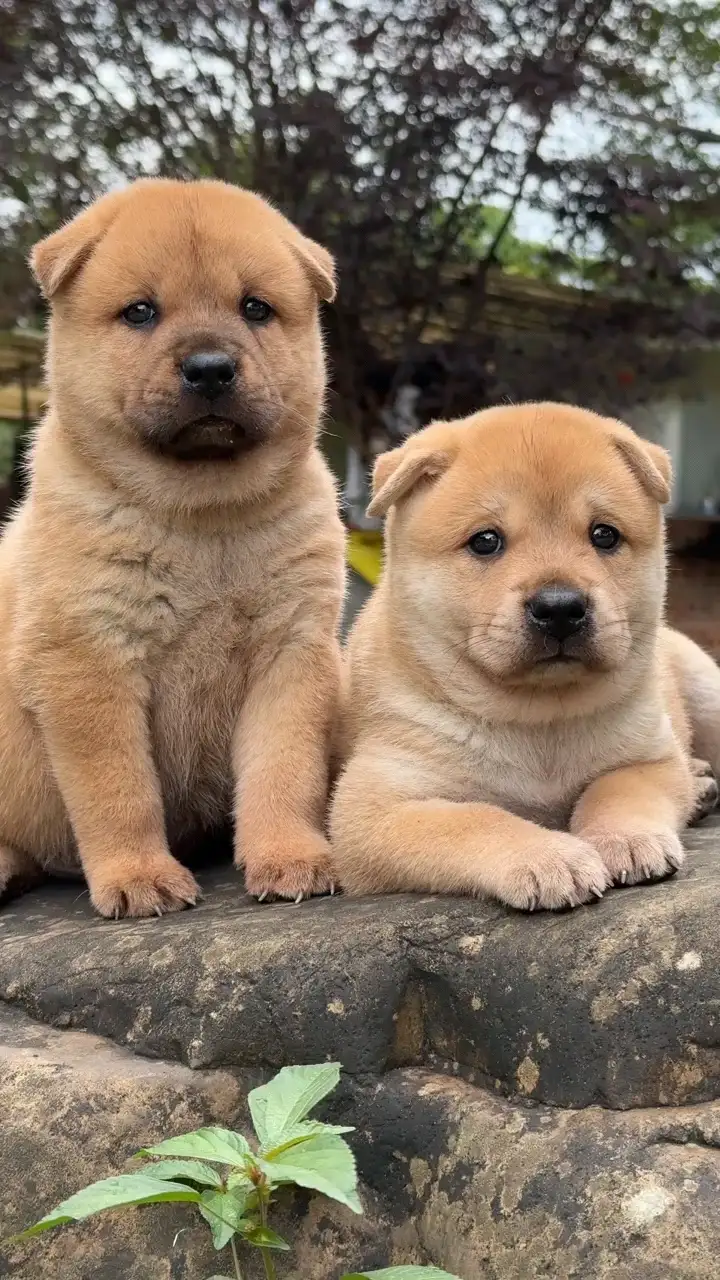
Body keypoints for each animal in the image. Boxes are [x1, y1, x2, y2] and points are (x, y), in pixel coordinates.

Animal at [0, 180, 343, 921]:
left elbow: (283, 773)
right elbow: (118, 791)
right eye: (140, 312)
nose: (210, 368)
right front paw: (141, 876)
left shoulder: (292, 653)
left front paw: (290, 857)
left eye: (255, 307)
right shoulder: (89, 662)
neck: (200, 516)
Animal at [330, 399, 717, 911]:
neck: (538, 719)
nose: (560, 608)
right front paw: (549, 858)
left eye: (605, 535)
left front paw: (628, 840)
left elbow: (616, 791)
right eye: (485, 540)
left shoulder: (647, 757)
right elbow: (475, 819)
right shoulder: (373, 807)